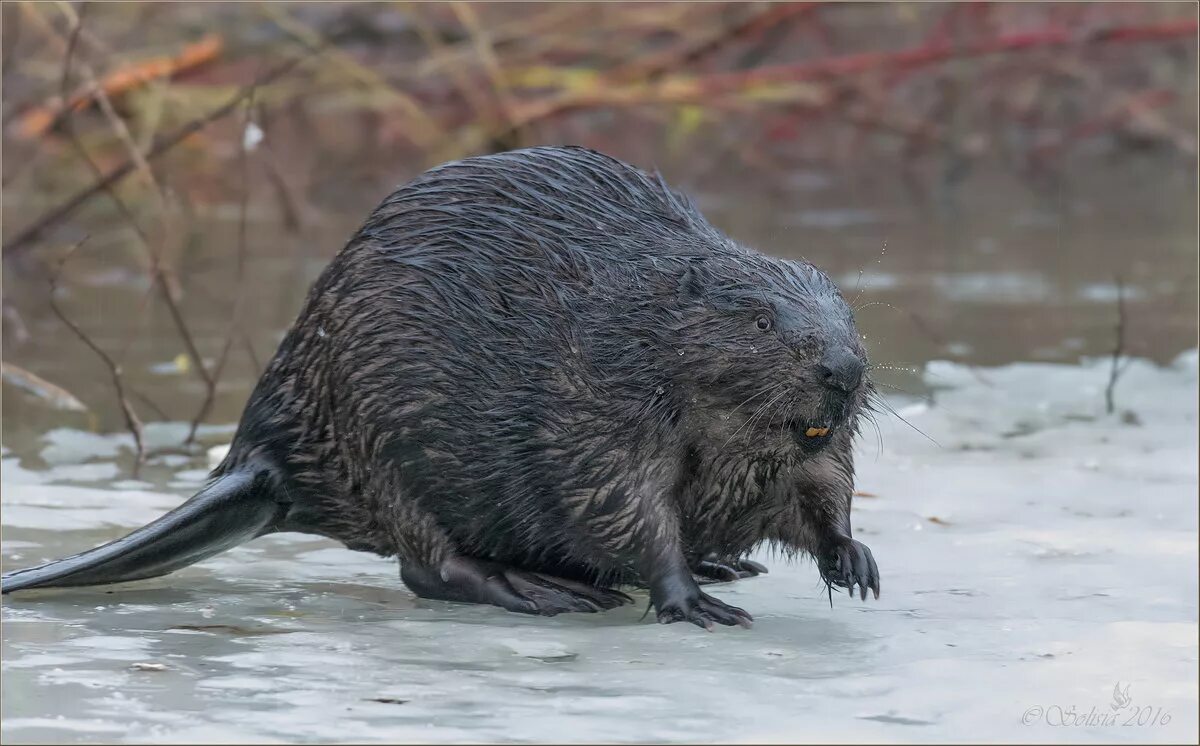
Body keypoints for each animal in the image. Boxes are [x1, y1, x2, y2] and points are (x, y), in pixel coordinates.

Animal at [2, 146, 883, 633]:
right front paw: (691, 600)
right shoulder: (593, 399)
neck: (639, 317)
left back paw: (723, 566)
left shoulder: (808, 450)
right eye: (762, 319)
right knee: (425, 566)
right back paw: (543, 590)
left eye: (847, 312)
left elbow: (823, 489)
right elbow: (620, 501)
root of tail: (265, 458)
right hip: (383, 438)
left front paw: (855, 560)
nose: (842, 371)